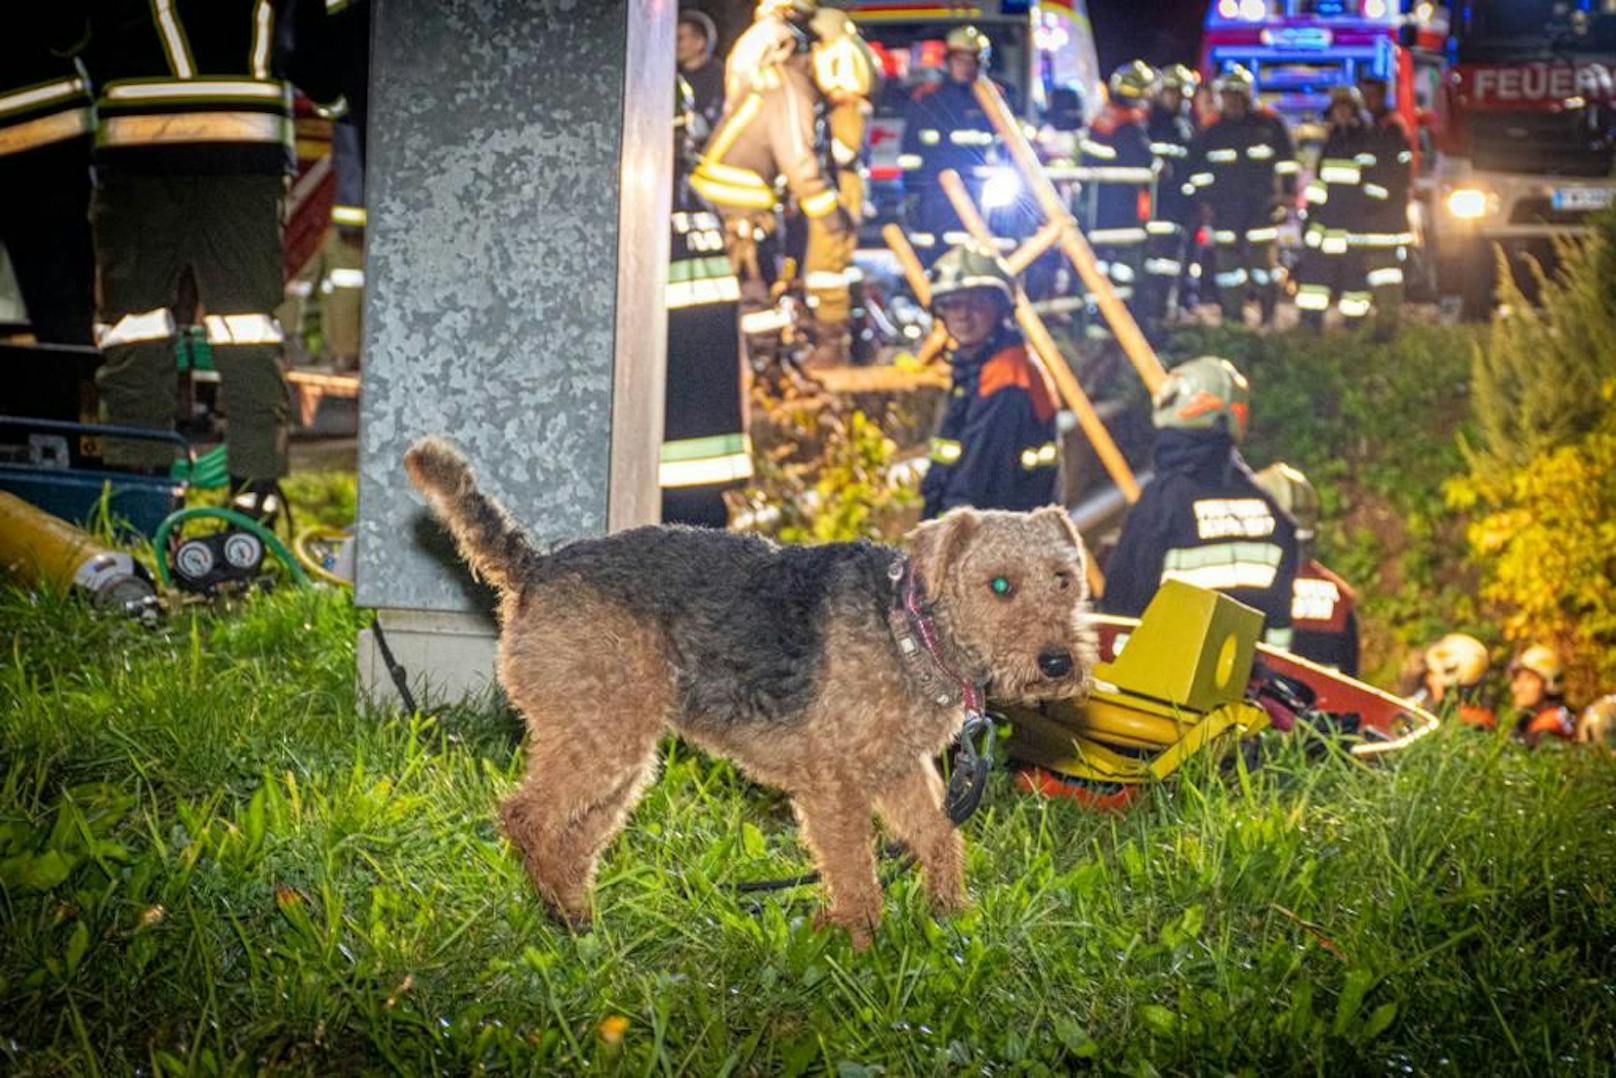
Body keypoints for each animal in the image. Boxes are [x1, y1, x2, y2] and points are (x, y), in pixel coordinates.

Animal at [404, 436, 1098, 943]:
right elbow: (855, 869)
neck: (911, 628)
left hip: (618, 752)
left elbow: (938, 838)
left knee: (572, 836)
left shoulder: (899, 769)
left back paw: (577, 918)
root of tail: (536, 567)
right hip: (602, 738)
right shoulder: (834, 783)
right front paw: (858, 942)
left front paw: (953, 919)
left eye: (1064, 578)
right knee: (527, 816)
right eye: (1000, 585)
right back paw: (559, 911)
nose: (1058, 662)